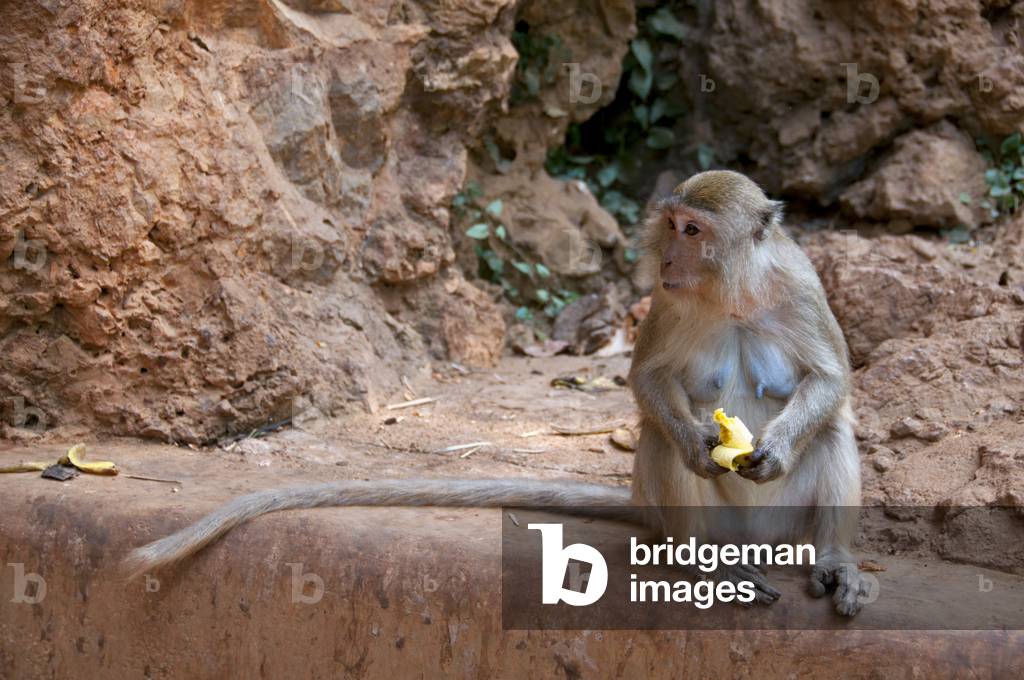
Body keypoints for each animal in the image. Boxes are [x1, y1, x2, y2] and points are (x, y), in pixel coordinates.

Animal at [125, 170, 866, 617]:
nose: (669, 259)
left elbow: (832, 381)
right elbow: (649, 382)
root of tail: (758, 545)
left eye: (694, 231)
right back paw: (708, 567)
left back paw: (834, 561)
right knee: (662, 441)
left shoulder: (797, 284)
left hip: (783, 525)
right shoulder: (667, 301)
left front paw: (775, 449)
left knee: (832, 428)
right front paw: (695, 440)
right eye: (673, 226)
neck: (730, 293)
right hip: (710, 525)